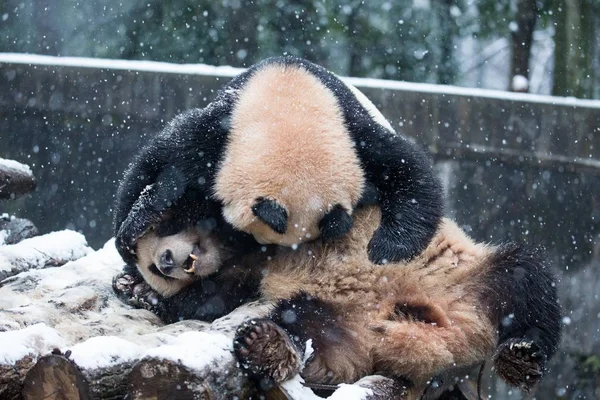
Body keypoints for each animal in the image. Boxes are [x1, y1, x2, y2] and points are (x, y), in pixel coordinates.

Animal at [113, 206, 564, 396]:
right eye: (152, 265)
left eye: (165, 228)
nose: (165, 262)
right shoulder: (249, 269)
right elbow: (220, 294)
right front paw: (136, 288)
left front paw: (136, 289)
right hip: (333, 315)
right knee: (307, 329)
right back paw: (268, 346)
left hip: (465, 276)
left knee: (527, 279)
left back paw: (522, 355)